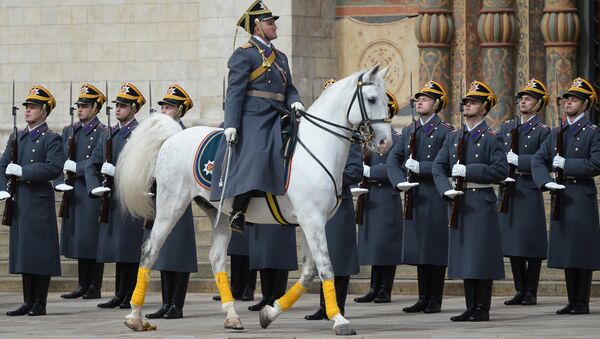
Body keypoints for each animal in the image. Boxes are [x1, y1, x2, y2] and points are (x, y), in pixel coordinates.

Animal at [116, 65, 394, 336]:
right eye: (371, 99)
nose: (385, 141)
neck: (317, 145)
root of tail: (174, 136)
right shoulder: (312, 220)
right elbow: (326, 267)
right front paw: (339, 320)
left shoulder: (312, 222)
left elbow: (307, 274)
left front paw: (270, 313)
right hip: (170, 206)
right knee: (150, 250)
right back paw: (134, 317)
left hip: (220, 213)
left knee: (217, 258)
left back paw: (231, 316)